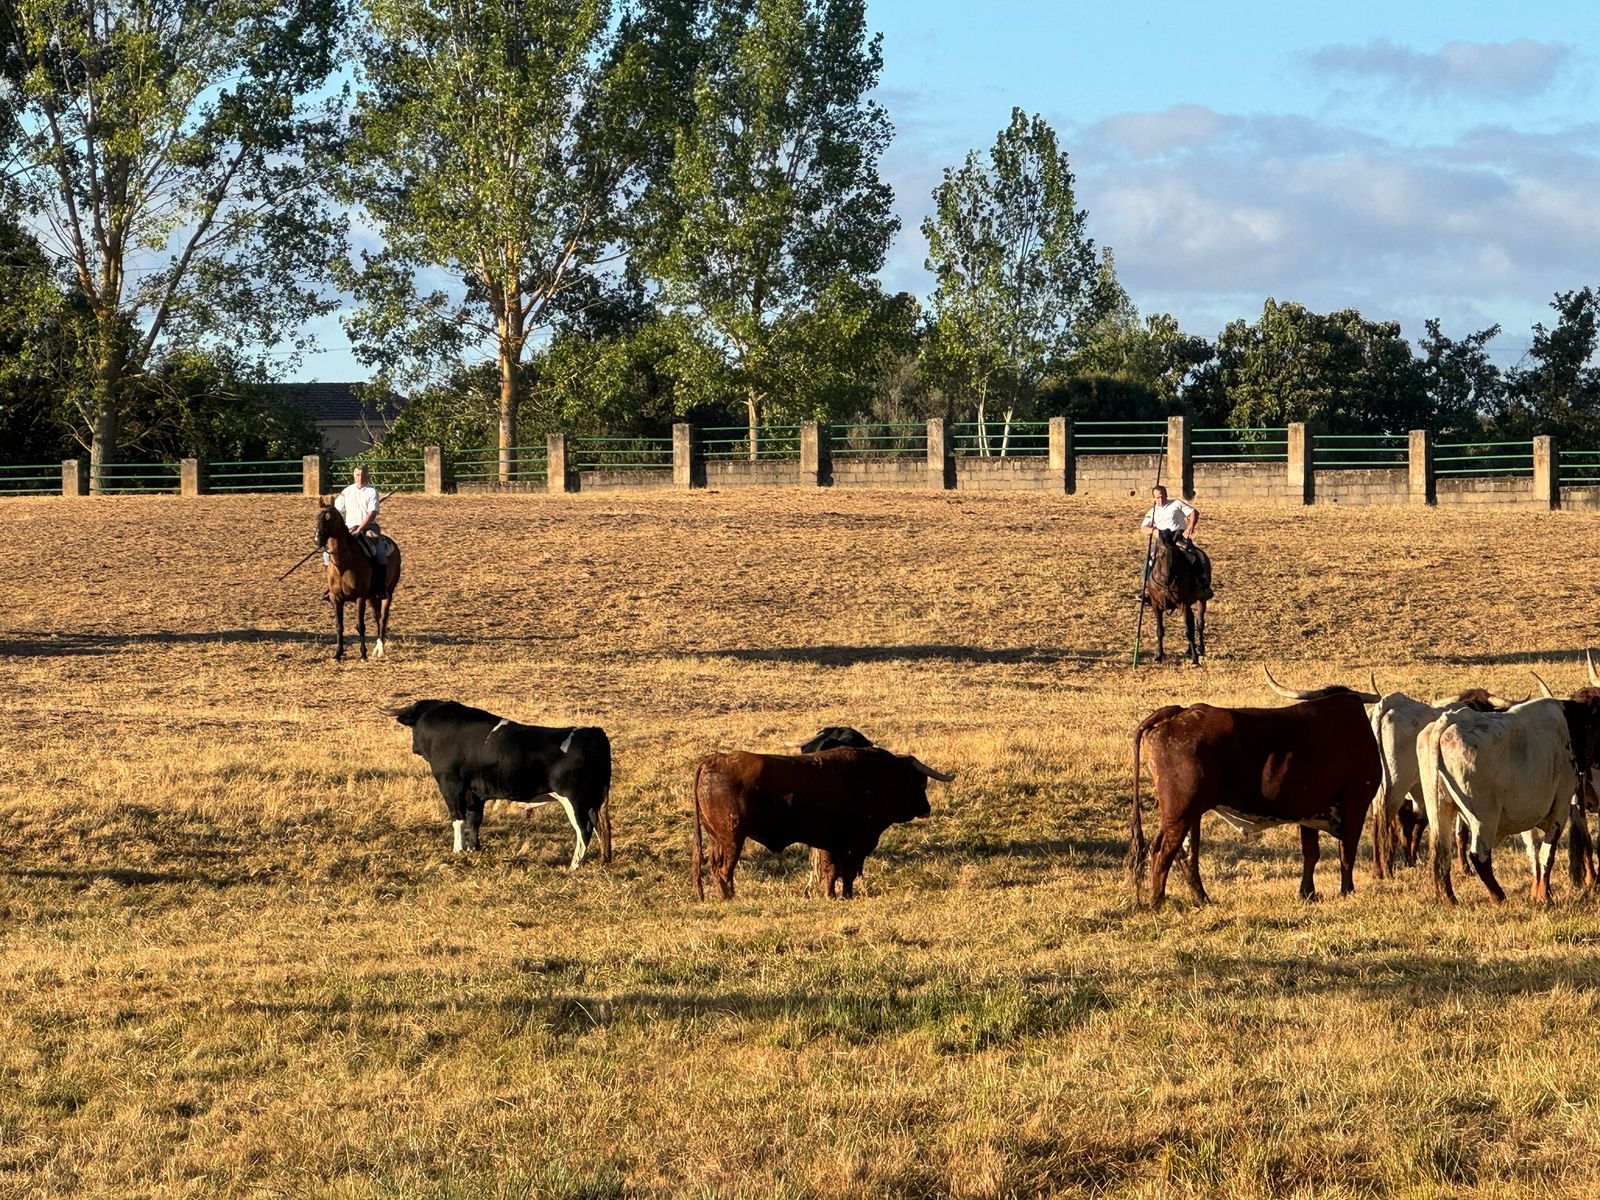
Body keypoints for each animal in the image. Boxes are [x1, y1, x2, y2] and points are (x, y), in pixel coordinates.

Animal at [315, 504, 402, 660]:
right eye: (317, 517)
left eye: (330, 518)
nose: (318, 539)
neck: (343, 565)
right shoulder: (336, 599)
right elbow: (339, 626)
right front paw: (338, 653)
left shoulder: (360, 597)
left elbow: (360, 625)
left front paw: (363, 654)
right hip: (373, 596)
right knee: (377, 616)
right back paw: (377, 647)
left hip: (388, 592)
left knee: (383, 618)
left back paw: (380, 649)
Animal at [1142, 528, 1210, 665]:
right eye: (1160, 554)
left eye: (1176, 556)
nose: (1168, 579)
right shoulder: (1156, 605)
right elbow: (1160, 630)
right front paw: (1159, 655)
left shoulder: (1184, 604)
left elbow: (1189, 631)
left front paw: (1195, 659)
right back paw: (1189, 650)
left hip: (1202, 600)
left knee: (1199, 624)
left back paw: (1200, 649)